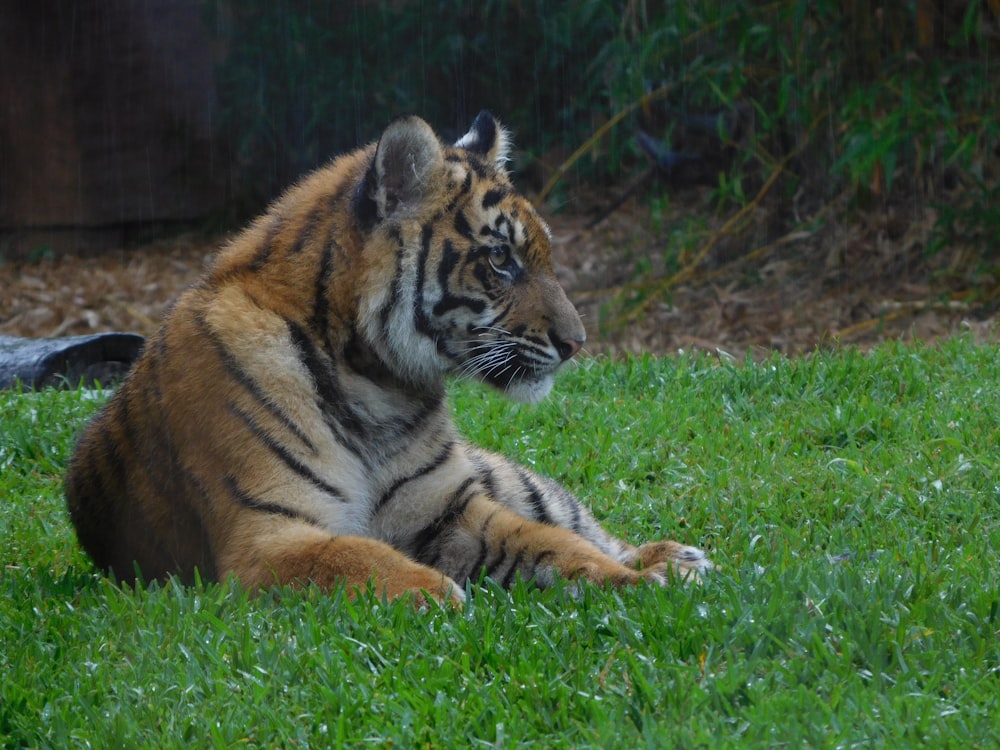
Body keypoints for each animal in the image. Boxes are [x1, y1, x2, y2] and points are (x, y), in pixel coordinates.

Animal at [64, 111, 712, 608]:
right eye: (500, 259)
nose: (577, 344)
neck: (374, 383)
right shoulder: (268, 535)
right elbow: (356, 556)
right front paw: (440, 592)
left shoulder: (450, 507)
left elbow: (553, 542)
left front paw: (637, 581)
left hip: (507, 476)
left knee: (585, 525)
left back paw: (675, 558)